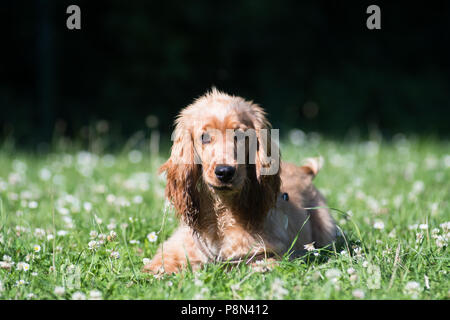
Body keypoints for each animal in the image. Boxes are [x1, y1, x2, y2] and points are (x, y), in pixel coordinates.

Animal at [142, 89, 336, 274]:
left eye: (241, 136)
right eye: (204, 137)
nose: (224, 172)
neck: (222, 213)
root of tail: (305, 171)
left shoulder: (266, 254)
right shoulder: (177, 248)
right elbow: (157, 267)